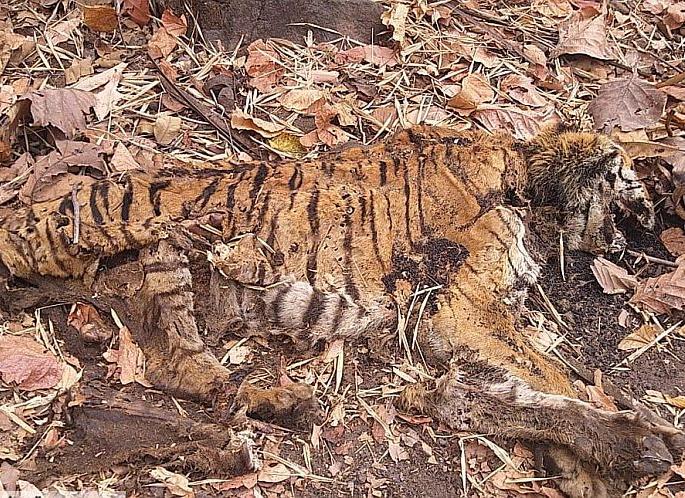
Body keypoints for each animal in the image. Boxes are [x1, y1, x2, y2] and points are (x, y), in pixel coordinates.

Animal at [0, 124, 679, 497]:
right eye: (635, 199)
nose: (632, 246)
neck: (524, 182)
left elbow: (531, 380)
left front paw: (590, 464)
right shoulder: (460, 310)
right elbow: (558, 375)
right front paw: (629, 443)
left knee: (186, 370)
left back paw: (278, 406)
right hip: (120, 222)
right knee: (177, 360)